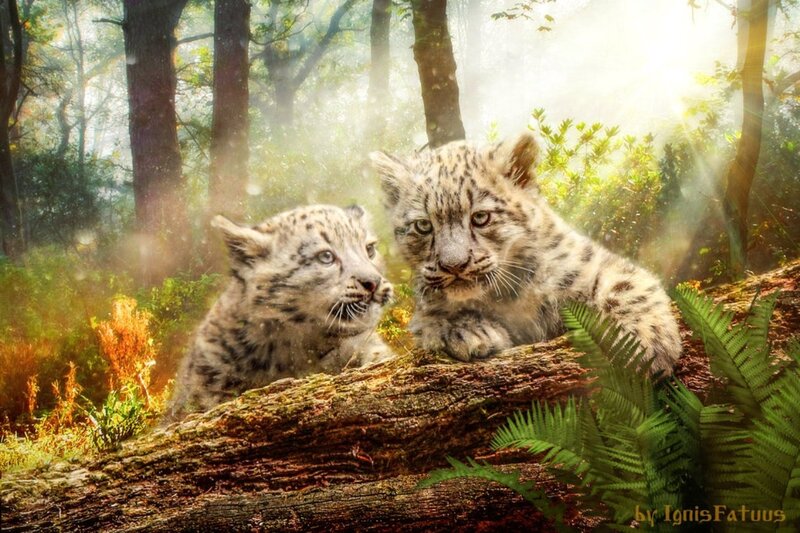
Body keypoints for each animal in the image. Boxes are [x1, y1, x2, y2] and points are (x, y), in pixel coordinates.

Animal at [370, 133, 681, 375]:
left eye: (480, 217)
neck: (508, 298)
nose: (454, 265)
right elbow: (430, 321)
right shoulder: (423, 314)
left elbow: (627, 287)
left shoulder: (593, 263)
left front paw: (644, 345)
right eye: (423, 225)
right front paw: (468, 332)